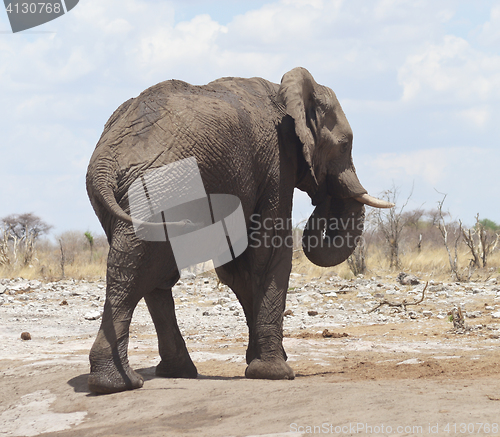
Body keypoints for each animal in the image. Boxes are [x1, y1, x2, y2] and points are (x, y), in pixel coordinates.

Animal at [86, 67, 392, 392]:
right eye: (345, 144)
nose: (323, 197)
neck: (285, 93)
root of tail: (105, 164)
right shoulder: (277, 160)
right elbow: (268, 253)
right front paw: (275, 371)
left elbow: (238, 267)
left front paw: (259, 360)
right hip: (162, 192)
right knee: (140, 271)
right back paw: (118, 383)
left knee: (146, 272)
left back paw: (165, 373)